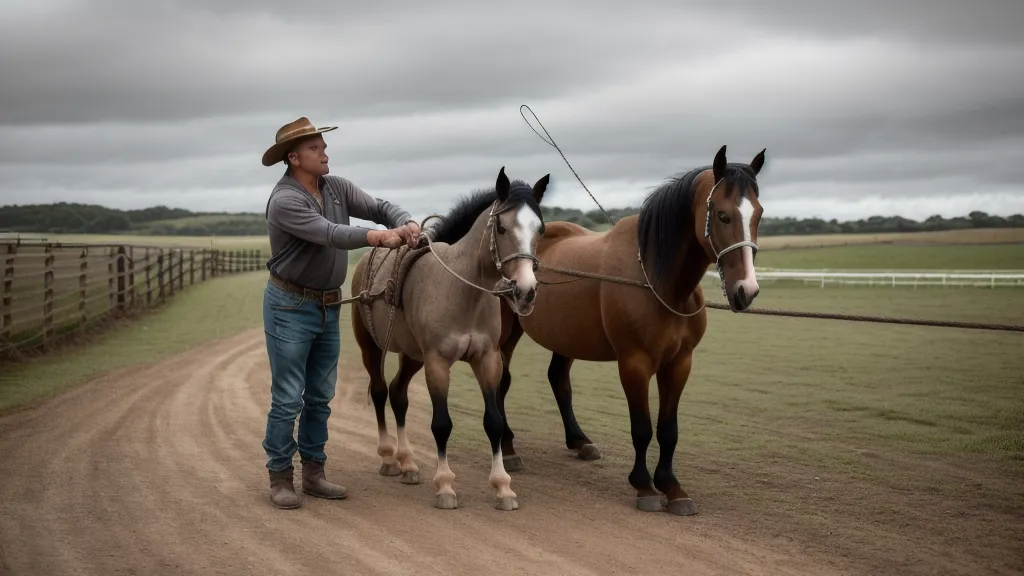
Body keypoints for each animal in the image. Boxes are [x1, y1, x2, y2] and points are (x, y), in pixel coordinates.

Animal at [349, 166, 550, 512]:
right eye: (501, 226)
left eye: (541, 229)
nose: (525, 291)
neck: (461, 289)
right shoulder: (438, 363)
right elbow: (441, 424)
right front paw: (445, 486)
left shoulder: (487, 360)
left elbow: (494, 422)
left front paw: (503, 487)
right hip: (371, 349)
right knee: (379, 392)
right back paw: (389, 458)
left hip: (412, 356)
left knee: (398, 393)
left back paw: (408, 462)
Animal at [495, 145, 766, 516]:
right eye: (723, 216)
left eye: (759, 215)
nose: (746, 290)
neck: (656, 279)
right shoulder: (634, 363)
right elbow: (642, 428)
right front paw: (645, 486)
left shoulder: (679, 363)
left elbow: (668, 430)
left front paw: (672, 487)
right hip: (507, 334)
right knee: (502, 379)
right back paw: (507, 447)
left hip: (566, 337)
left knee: (558, 379)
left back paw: (579, 441)